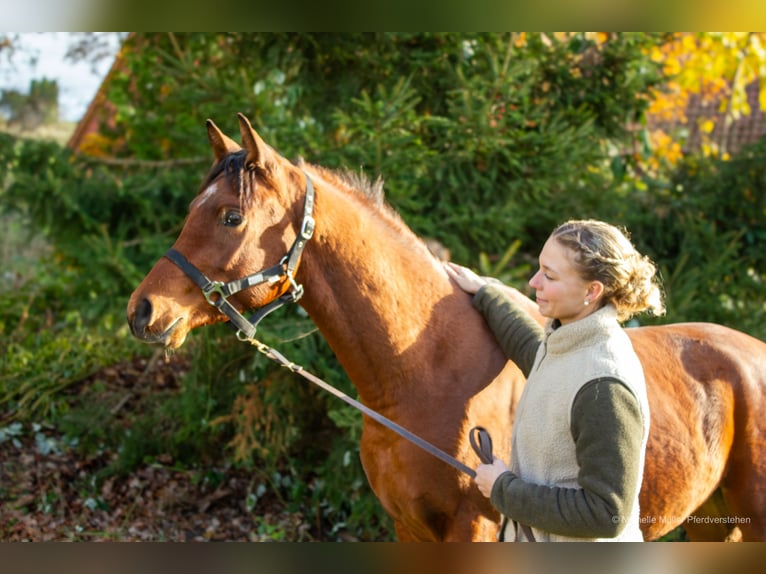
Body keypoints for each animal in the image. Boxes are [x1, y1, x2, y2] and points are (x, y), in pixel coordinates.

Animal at [127, 115, 766, 544]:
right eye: (192, 209)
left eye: (231, 217)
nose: (142, 311)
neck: (422, 373)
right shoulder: (408, 528)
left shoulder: (475, 529)